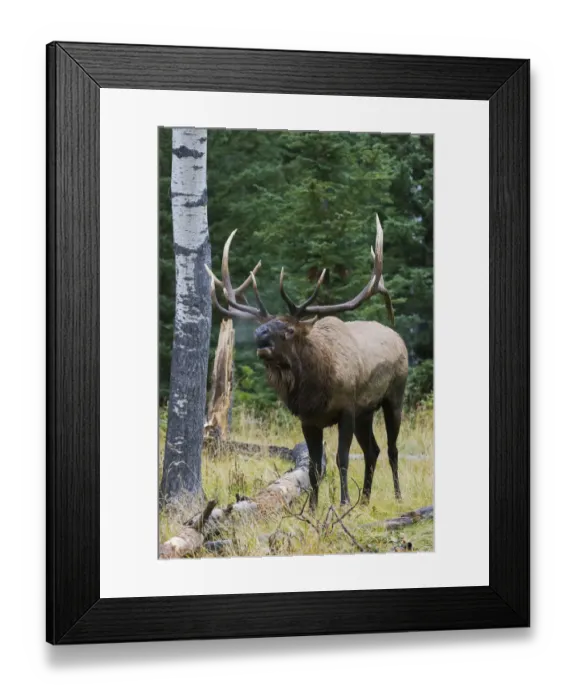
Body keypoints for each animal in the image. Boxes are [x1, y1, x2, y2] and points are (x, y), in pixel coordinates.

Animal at [205, 215, 409, 511]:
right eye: (265, 324)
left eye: (289, 329)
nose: (259, 335)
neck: (314, 391)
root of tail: (398, 338)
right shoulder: (309, 420)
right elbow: (313, 466)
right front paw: (312, 507)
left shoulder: (346, 409)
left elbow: (341, 458)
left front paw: (343, 502)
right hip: (366, 411)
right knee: (373, 450)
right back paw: (365, 499)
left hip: (393, 396)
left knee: (392, 448)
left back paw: (396, 495)